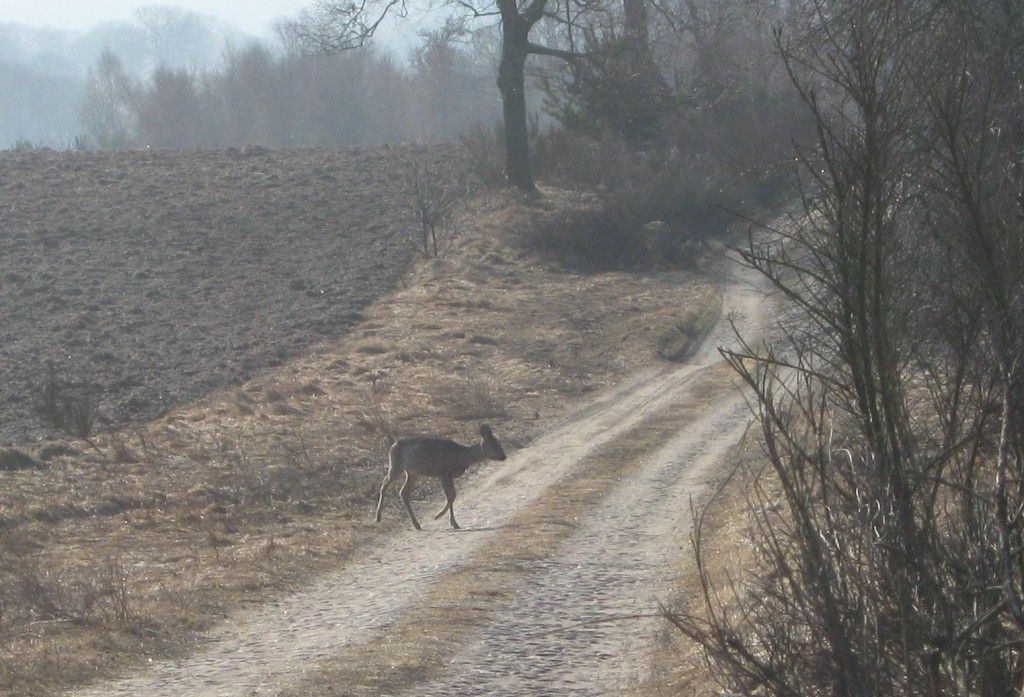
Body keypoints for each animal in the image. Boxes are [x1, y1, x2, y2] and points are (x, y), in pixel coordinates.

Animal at [374, 421, 505, 528]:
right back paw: (378, 517)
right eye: (495, 445)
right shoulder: (443, 473)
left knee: (403, 492)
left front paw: (451, 522)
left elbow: (452, 496)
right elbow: (451, 496)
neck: (461, 457)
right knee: (384, 484)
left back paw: (416, 524)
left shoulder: (448, 476)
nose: (504, 456)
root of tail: (392, 446)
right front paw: (441, 517)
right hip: (396, 466)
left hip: (413, 473)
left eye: (499, 444)